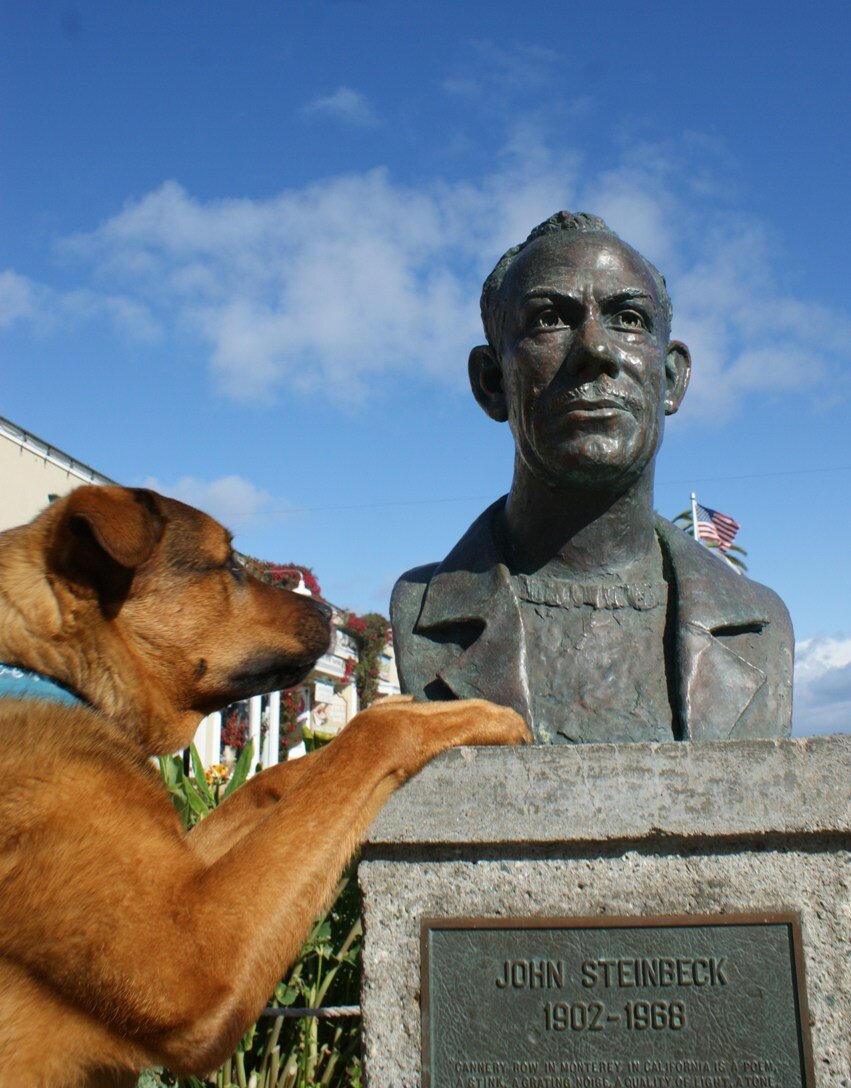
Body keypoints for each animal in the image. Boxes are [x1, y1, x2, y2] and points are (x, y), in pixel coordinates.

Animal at [0, 489, 528, 1083]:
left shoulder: (184, 862)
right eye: (231, 565)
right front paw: (464, 714)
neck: (55, 672)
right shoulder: (193, 952)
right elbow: (372, 733)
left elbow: (279, 777)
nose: (330, 613)